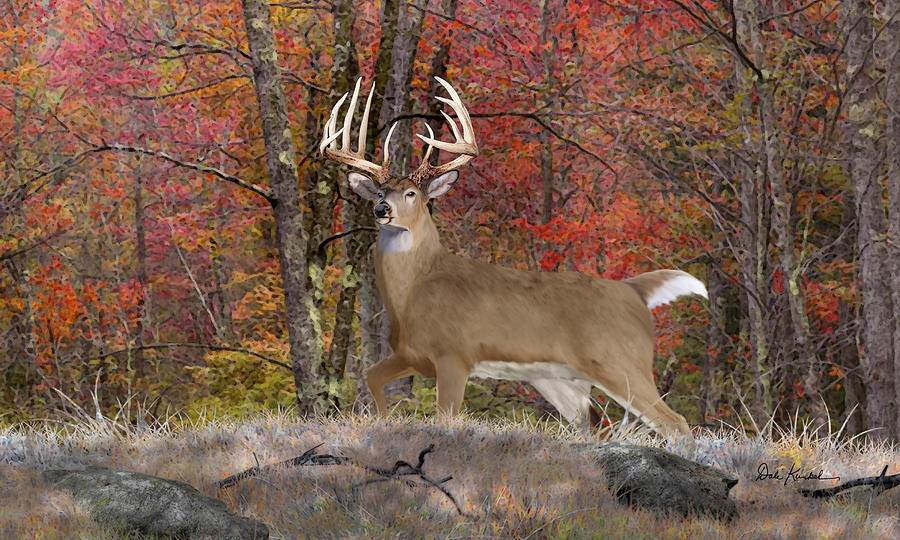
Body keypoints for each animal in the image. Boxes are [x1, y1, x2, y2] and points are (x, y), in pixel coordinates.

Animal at [320, 76, 708, 438]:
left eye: (412, 193)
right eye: (380, 191)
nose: (382, 209)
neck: (413, 290)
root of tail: (635, 290)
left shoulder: (454, 354)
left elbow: (446, 417)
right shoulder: (409, 354)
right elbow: (372, 376)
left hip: (621, 361)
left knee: (675, 422)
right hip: (562, 379)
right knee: (599, 426)